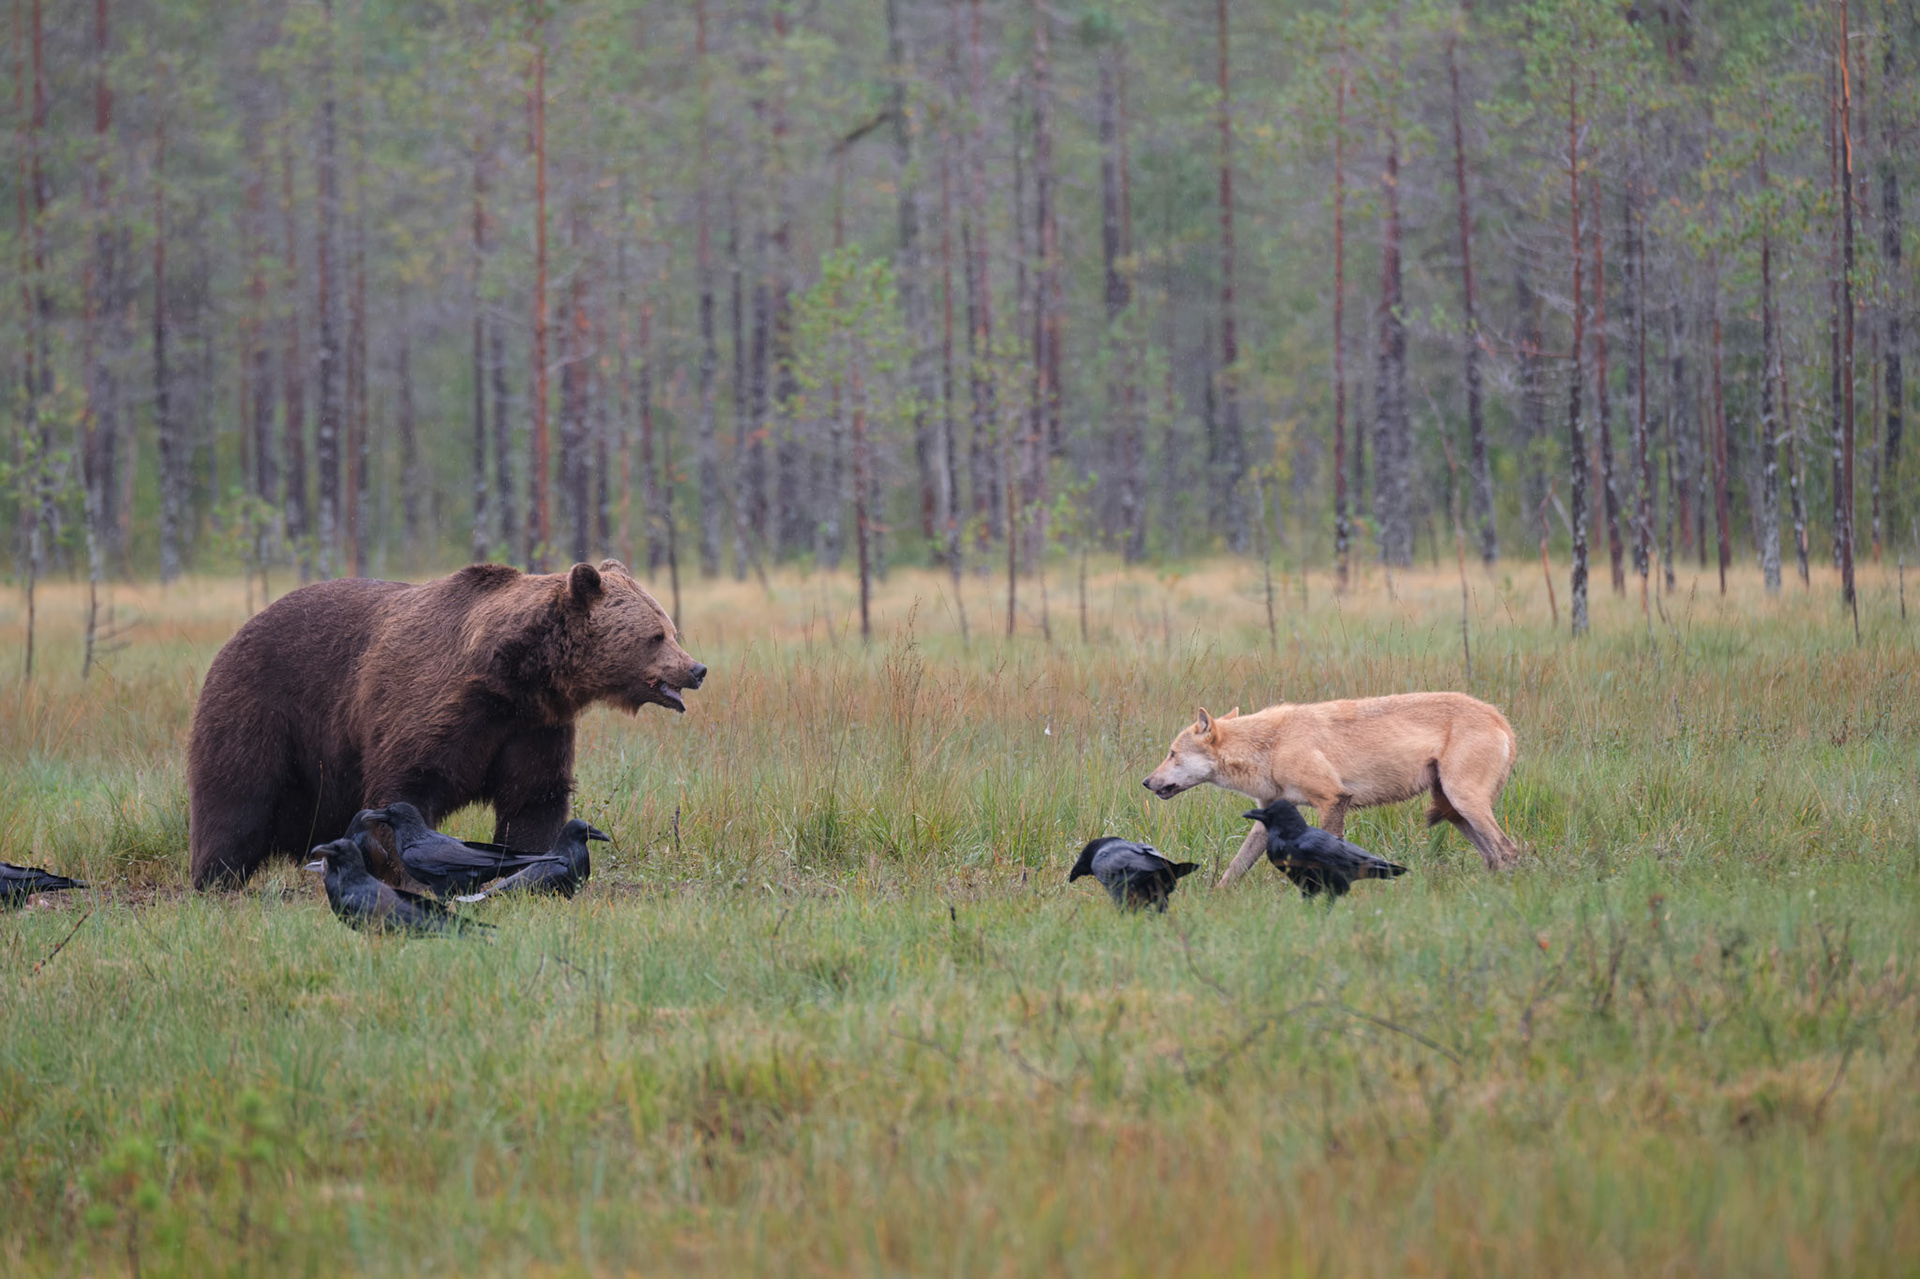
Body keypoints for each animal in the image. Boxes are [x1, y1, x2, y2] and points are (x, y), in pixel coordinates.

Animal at [187, 559, 705, 889]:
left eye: (671, 629)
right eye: (656, 635)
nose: (696, 668)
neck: (514, 678)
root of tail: (240, 630)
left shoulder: (532, 728)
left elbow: (534, 796)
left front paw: (534, 863)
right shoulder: (435, 706)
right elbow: (407, 786)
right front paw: (410, 873)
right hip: (264, 707)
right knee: (236, 796)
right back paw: (216, 877)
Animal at [1142, 693, 1520, 886]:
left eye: (1171, 754)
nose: (1146, 782)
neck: (1272, 746)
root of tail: (1501, 719)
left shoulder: (1333, 800)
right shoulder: (1268, 816)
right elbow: (1234, 867)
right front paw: (1216, 898)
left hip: (1464, 803)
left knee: (1509, 851)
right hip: (1456, 814)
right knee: (1493, 856)